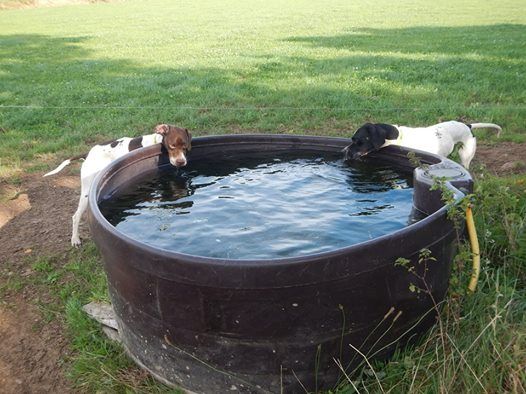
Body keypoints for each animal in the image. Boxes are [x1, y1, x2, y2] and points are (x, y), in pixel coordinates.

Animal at [43, 124, 192, 246]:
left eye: (185, 147)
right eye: (172, 146)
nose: (181, 162)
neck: (154, 141)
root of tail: (88, 154)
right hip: (86, 193)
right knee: (75, 216)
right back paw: (75, 239)